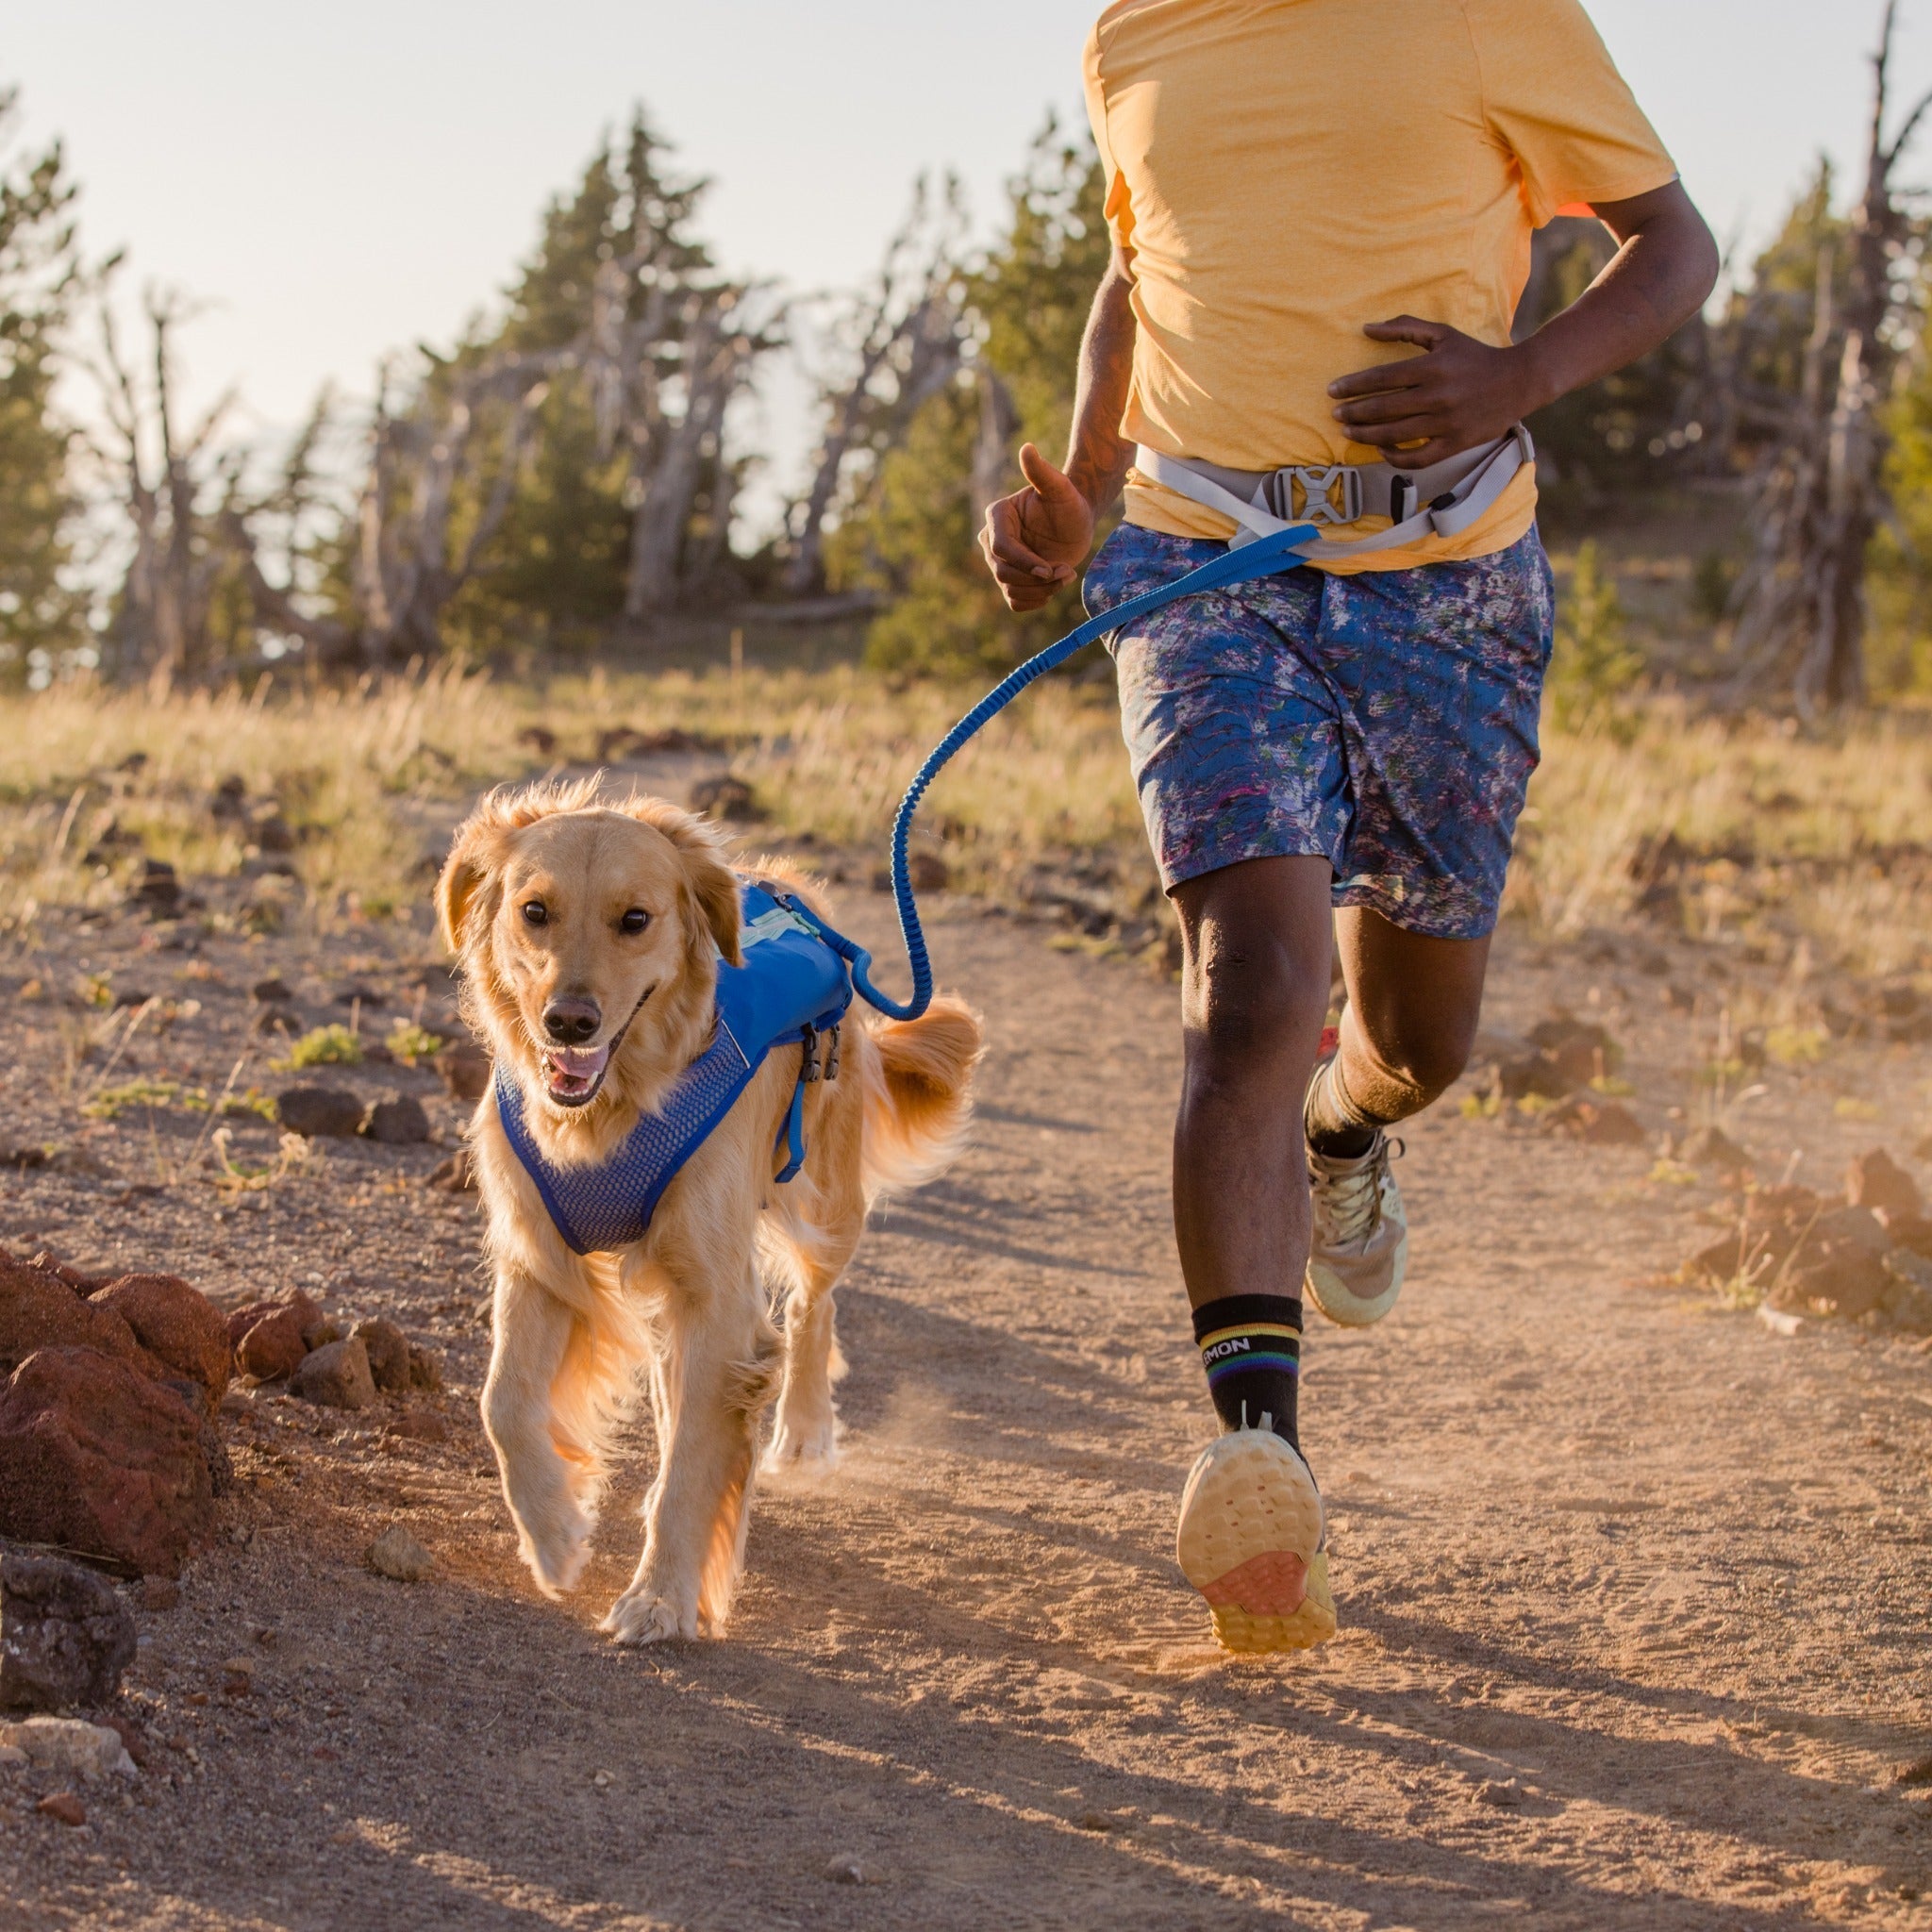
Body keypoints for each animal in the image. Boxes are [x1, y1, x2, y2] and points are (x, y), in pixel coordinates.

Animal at [438, 776, 981, 1638]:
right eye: (534, 911)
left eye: (635, 919)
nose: (569, 1022)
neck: (616, 1108)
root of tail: (788, 892)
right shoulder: (540, 1252)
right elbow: (505, 1403)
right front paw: (554, 1533)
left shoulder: (718, 1296)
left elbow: (694, 1461)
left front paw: (661, 1596)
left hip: (824, 1200)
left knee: (814, 1306)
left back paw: (803, 1430)